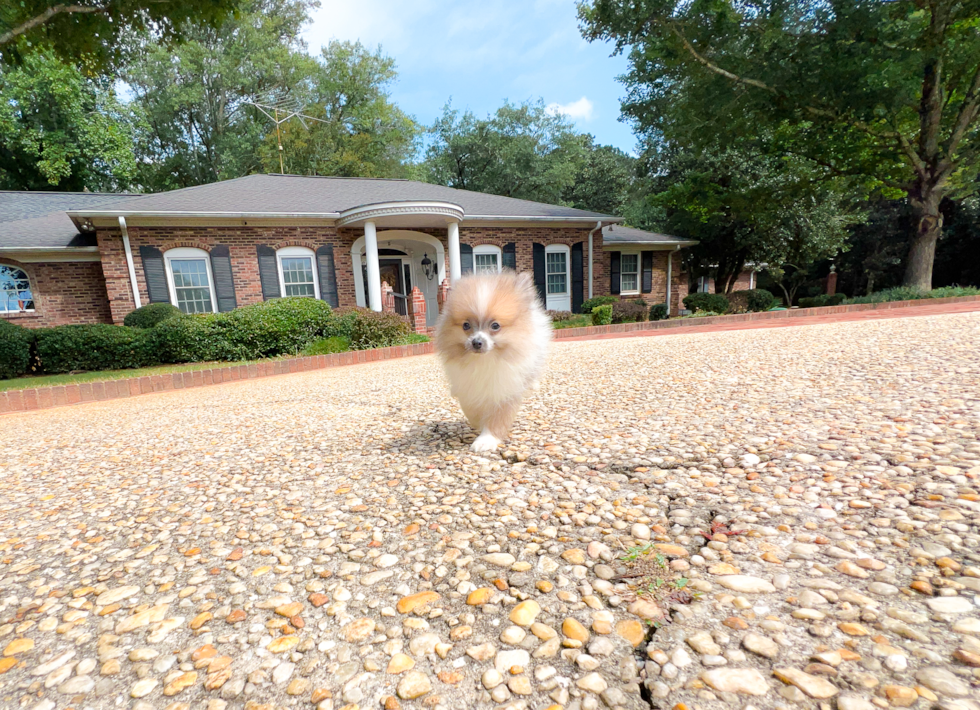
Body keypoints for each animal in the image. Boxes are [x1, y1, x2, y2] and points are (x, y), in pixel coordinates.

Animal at [434, 270, 552, 454]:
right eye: (466, 325)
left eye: (495, 325)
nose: (476, 342)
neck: (485, 360)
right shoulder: (467, 384)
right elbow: (469, 406)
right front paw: (477, 422)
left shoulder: (505, 388)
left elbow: (497, 417)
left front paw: (486, 439)